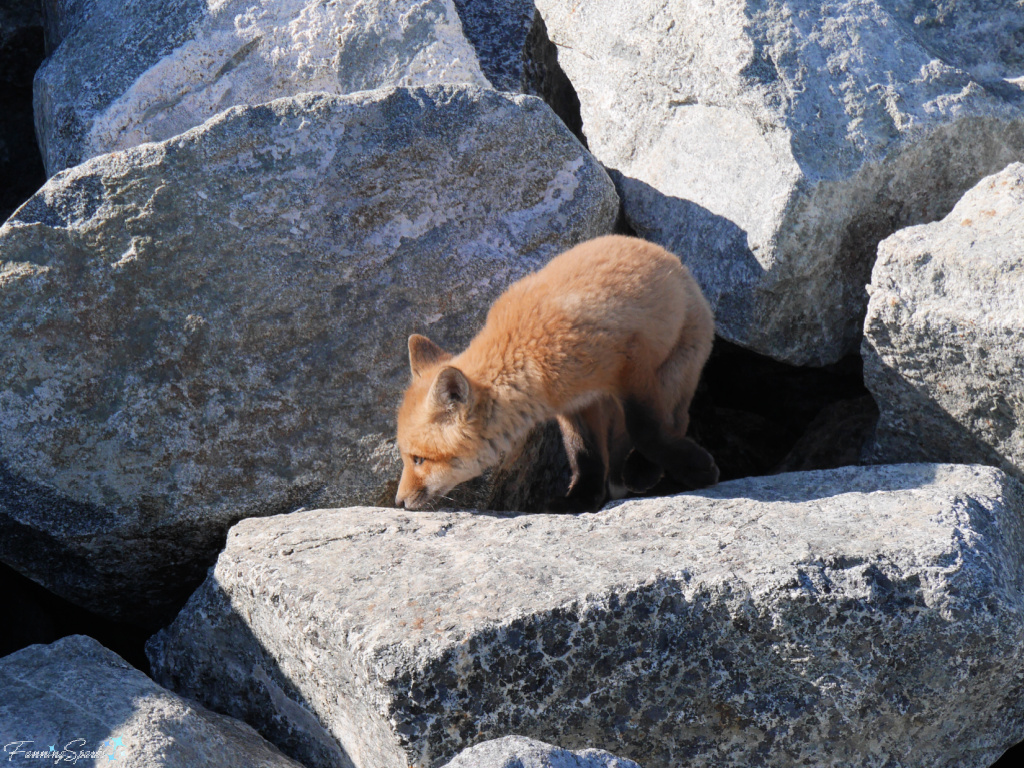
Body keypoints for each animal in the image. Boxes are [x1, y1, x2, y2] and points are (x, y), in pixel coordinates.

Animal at [395, 234, 718, 512]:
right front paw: (581, 499)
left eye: (419, 459)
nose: (399, 502)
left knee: (676, 419)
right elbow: (584, 453)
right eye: (407, 458)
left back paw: (645, 468)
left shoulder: (631, 359)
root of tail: (671, 257)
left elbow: (646, 429)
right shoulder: (572, 403)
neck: (528, 351)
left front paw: (697, 469)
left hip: (673, 372)